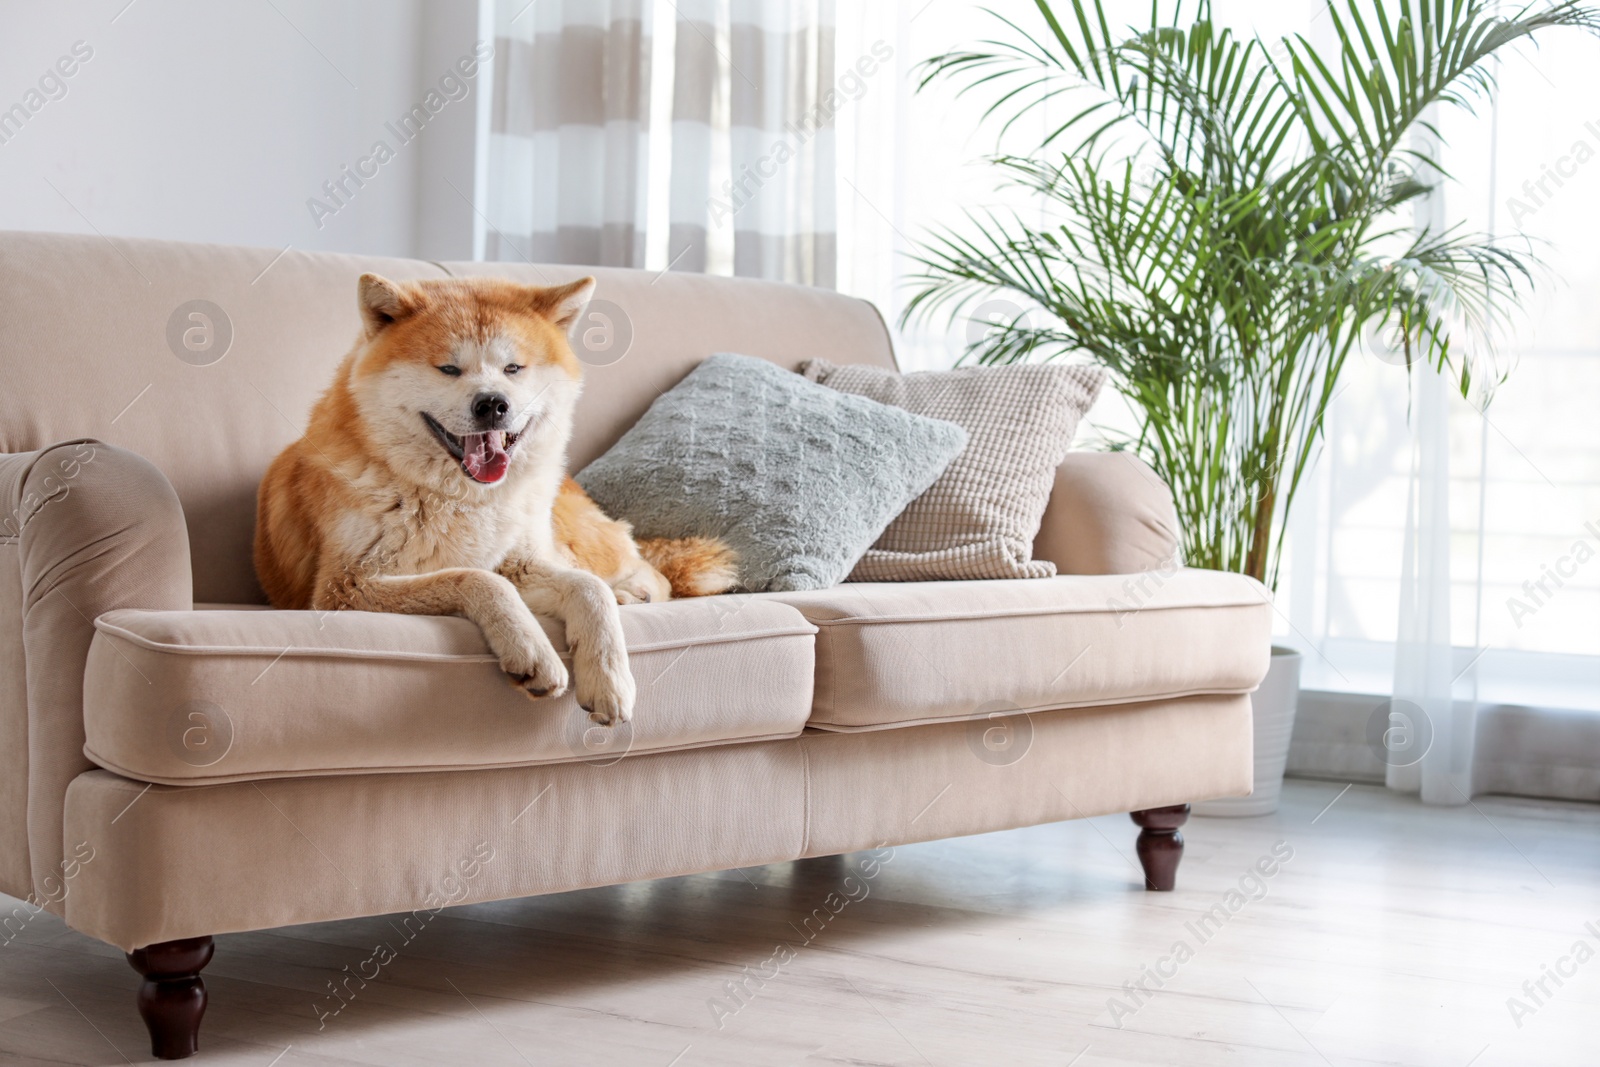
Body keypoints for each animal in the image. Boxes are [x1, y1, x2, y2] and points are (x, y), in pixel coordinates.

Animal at [252, 273, 739, 726]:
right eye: (449, 369)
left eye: (513, 368)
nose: (492, 404)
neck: (464, 500)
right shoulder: (344, 589)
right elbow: (477, 579)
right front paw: (532, 650)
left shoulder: (521, 561)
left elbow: (588, 588)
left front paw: (609, 678)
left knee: (646, 570)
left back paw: (631, 592)